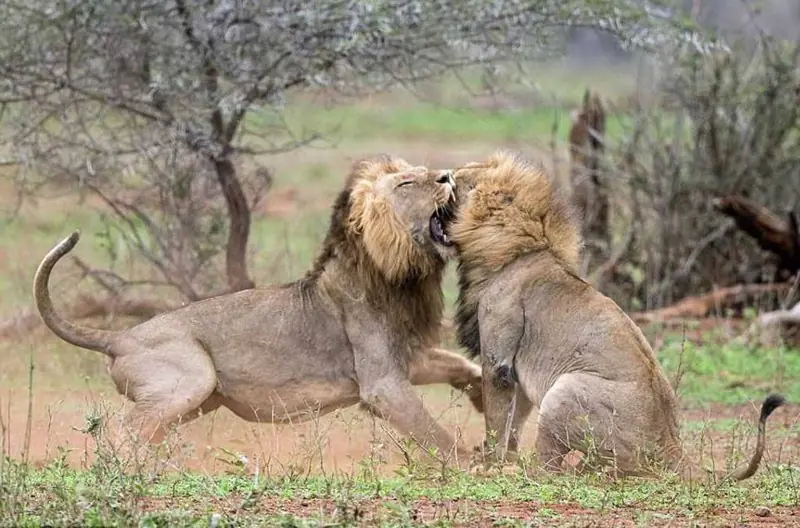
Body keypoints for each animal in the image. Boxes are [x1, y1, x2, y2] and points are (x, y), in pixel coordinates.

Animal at [33, 155, 482, 464]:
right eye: (408, 182)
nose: (448, 175)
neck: (398, 274)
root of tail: (120, 337)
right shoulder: (382, 384)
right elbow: (433, 432)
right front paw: (477, 463)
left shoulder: (407, 358)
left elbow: (457, 364)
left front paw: (481, 394)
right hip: (190, 378)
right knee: (121, 430)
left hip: (197, 399)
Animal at [447, 150, 785, 481]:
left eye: (459, 181)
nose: (446, 174)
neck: (515, 247)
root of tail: (670, 445)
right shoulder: (516, 368)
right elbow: (514, 421)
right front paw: (504, 459)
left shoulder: (498, 363)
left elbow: (496, 421)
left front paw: (490, 467)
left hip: (565, 389)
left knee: (549, 470)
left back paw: (523, 472)